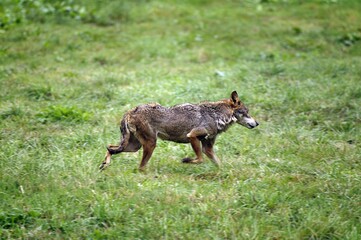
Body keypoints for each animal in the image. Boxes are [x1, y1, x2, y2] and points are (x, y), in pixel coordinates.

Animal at [100, 90, 258, 171]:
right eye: (247, 112)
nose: (257, 123)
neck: (216, 116)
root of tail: (130, 110)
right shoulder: (192, 136)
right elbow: (200, 159)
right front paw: (186, 160)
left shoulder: (208, 148)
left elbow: (218, 163)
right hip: (149, 145)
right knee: (140, 166)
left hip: (134, 147)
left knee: (109, 147)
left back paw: (104, 164)